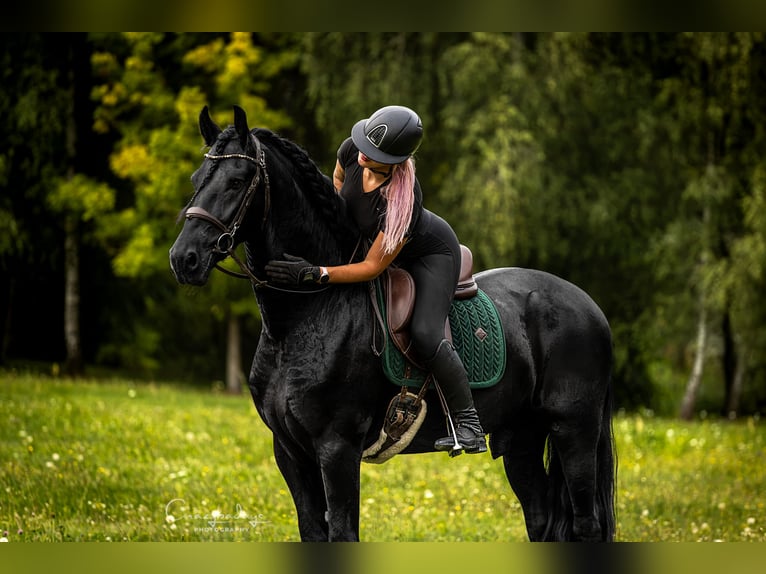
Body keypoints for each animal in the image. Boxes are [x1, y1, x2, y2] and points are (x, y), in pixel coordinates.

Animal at [169, 106, 616, 542]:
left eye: (237, 181)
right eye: (196, 179)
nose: (183, 259)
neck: (305, 319)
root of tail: (589, 305)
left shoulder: (337, 448)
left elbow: (343, 533)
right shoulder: (289, 450)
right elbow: (313, 530)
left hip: (573, 431)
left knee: (586, 525)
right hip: (523, 436)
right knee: (540, 522)